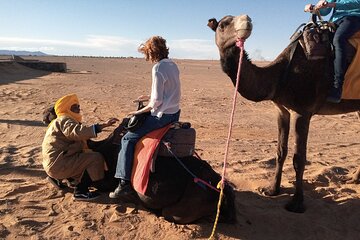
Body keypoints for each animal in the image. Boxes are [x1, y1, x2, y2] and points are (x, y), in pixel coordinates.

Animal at [42, 108, 236, 224]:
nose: (45, 113)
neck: (99, 146)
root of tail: (219, 187)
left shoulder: (105, 179)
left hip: (185, 205)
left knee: (171, 213)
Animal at [207, 15, 360, 212]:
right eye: (223, 24)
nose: (247, 20)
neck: (280, 75)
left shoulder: (302, 112)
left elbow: (299, 158)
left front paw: (297, 202)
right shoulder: (281, 110)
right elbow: (280, 151)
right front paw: (272, 189)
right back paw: (353, 178)